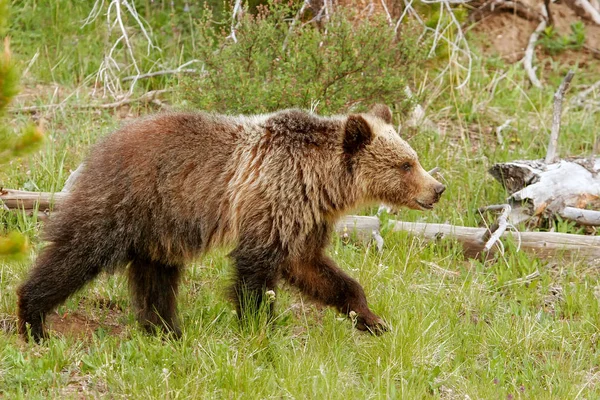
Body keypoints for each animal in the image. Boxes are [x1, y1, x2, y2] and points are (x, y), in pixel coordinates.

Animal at [16, 103, 442, 340]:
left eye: (414, 157)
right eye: (406, 164)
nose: (437, 188)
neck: (319, 182)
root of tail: (100, 143)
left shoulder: (303, 220)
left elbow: (316, 270)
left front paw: (372, 320)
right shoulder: (270, 202)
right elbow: (255, 273)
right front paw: (260, 329)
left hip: (161, 227)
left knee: (156, 277)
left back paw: (166, 330)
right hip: (124, 202)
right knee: (77, 253)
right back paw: (34, 320)